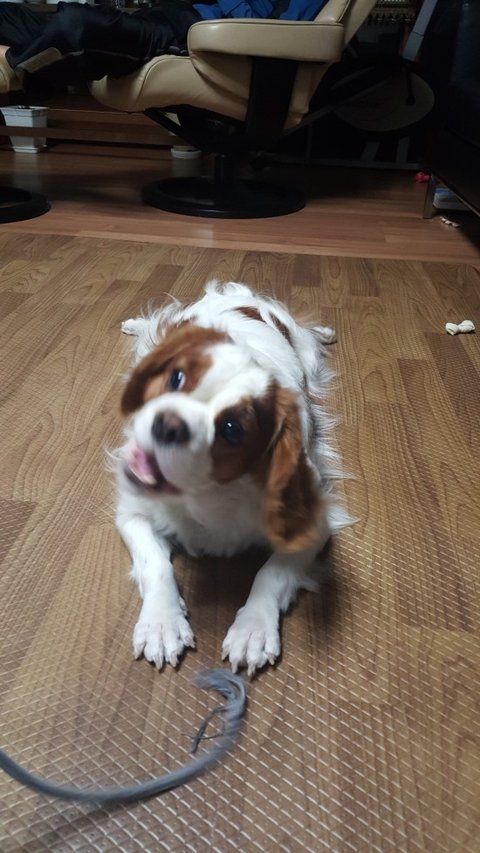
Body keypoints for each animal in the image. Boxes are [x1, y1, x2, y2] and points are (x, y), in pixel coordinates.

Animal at [115, 282, 350, 676]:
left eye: (231, 429)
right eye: (176, 378)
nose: (166, 424)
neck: (206, 493)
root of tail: (236, 294)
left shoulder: (311, 527)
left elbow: (271, 573)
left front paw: (253, 629)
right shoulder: (133, 513)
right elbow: (155, 564)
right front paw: (161, 624)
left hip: (307, 354)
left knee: (309, 335)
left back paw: (325, 331)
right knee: (153, 323)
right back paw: (132, 323)